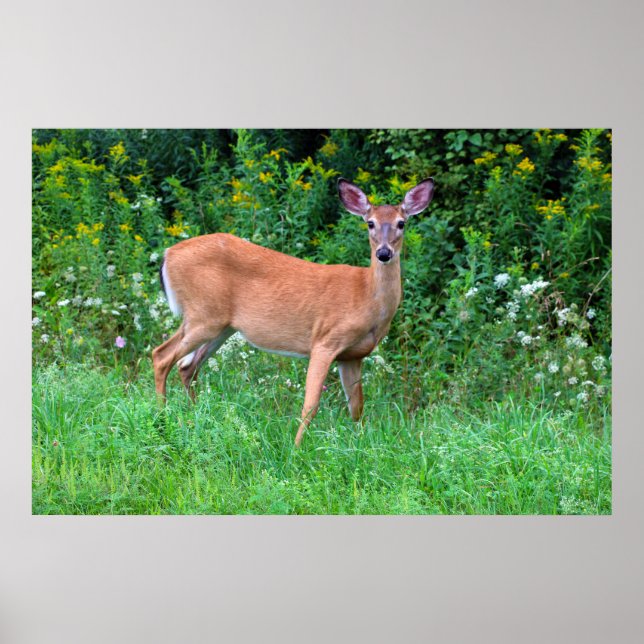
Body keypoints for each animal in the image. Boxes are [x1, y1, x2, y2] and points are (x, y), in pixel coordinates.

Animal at [152, 177, 435, 446]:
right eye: (370, 223)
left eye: (401, 223)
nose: (384, 253)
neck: (366, 295)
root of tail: (168, 254)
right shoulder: (325, 341)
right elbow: (311, 404)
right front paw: (297, 448)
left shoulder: (353, 356)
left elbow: (357, 407)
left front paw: (361, 443)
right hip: (203, 315)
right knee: (161, 356)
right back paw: (163, 419)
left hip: (221, 326)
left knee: (187, 367)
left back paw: (194, 416)